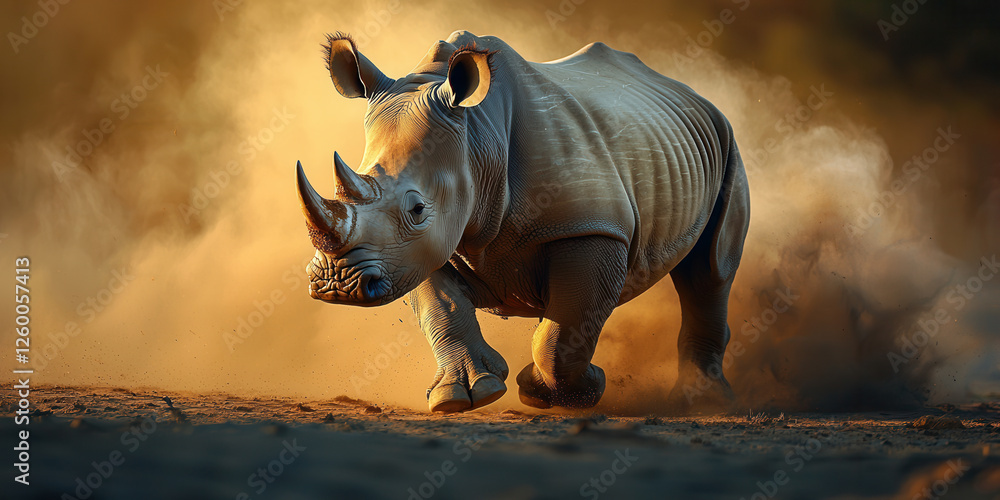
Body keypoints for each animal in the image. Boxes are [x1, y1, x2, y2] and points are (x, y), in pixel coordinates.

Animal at [296, 30, 750, 413]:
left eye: (418, 209)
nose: (337, 283)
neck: (479, 139)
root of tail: (692, 92)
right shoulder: (413, 250)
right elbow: (441, 307)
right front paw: (462, 397)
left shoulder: (593, 226)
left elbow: (562, 333)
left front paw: (563, 391)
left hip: (728, 141)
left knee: (710, 269)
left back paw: (703, 402)